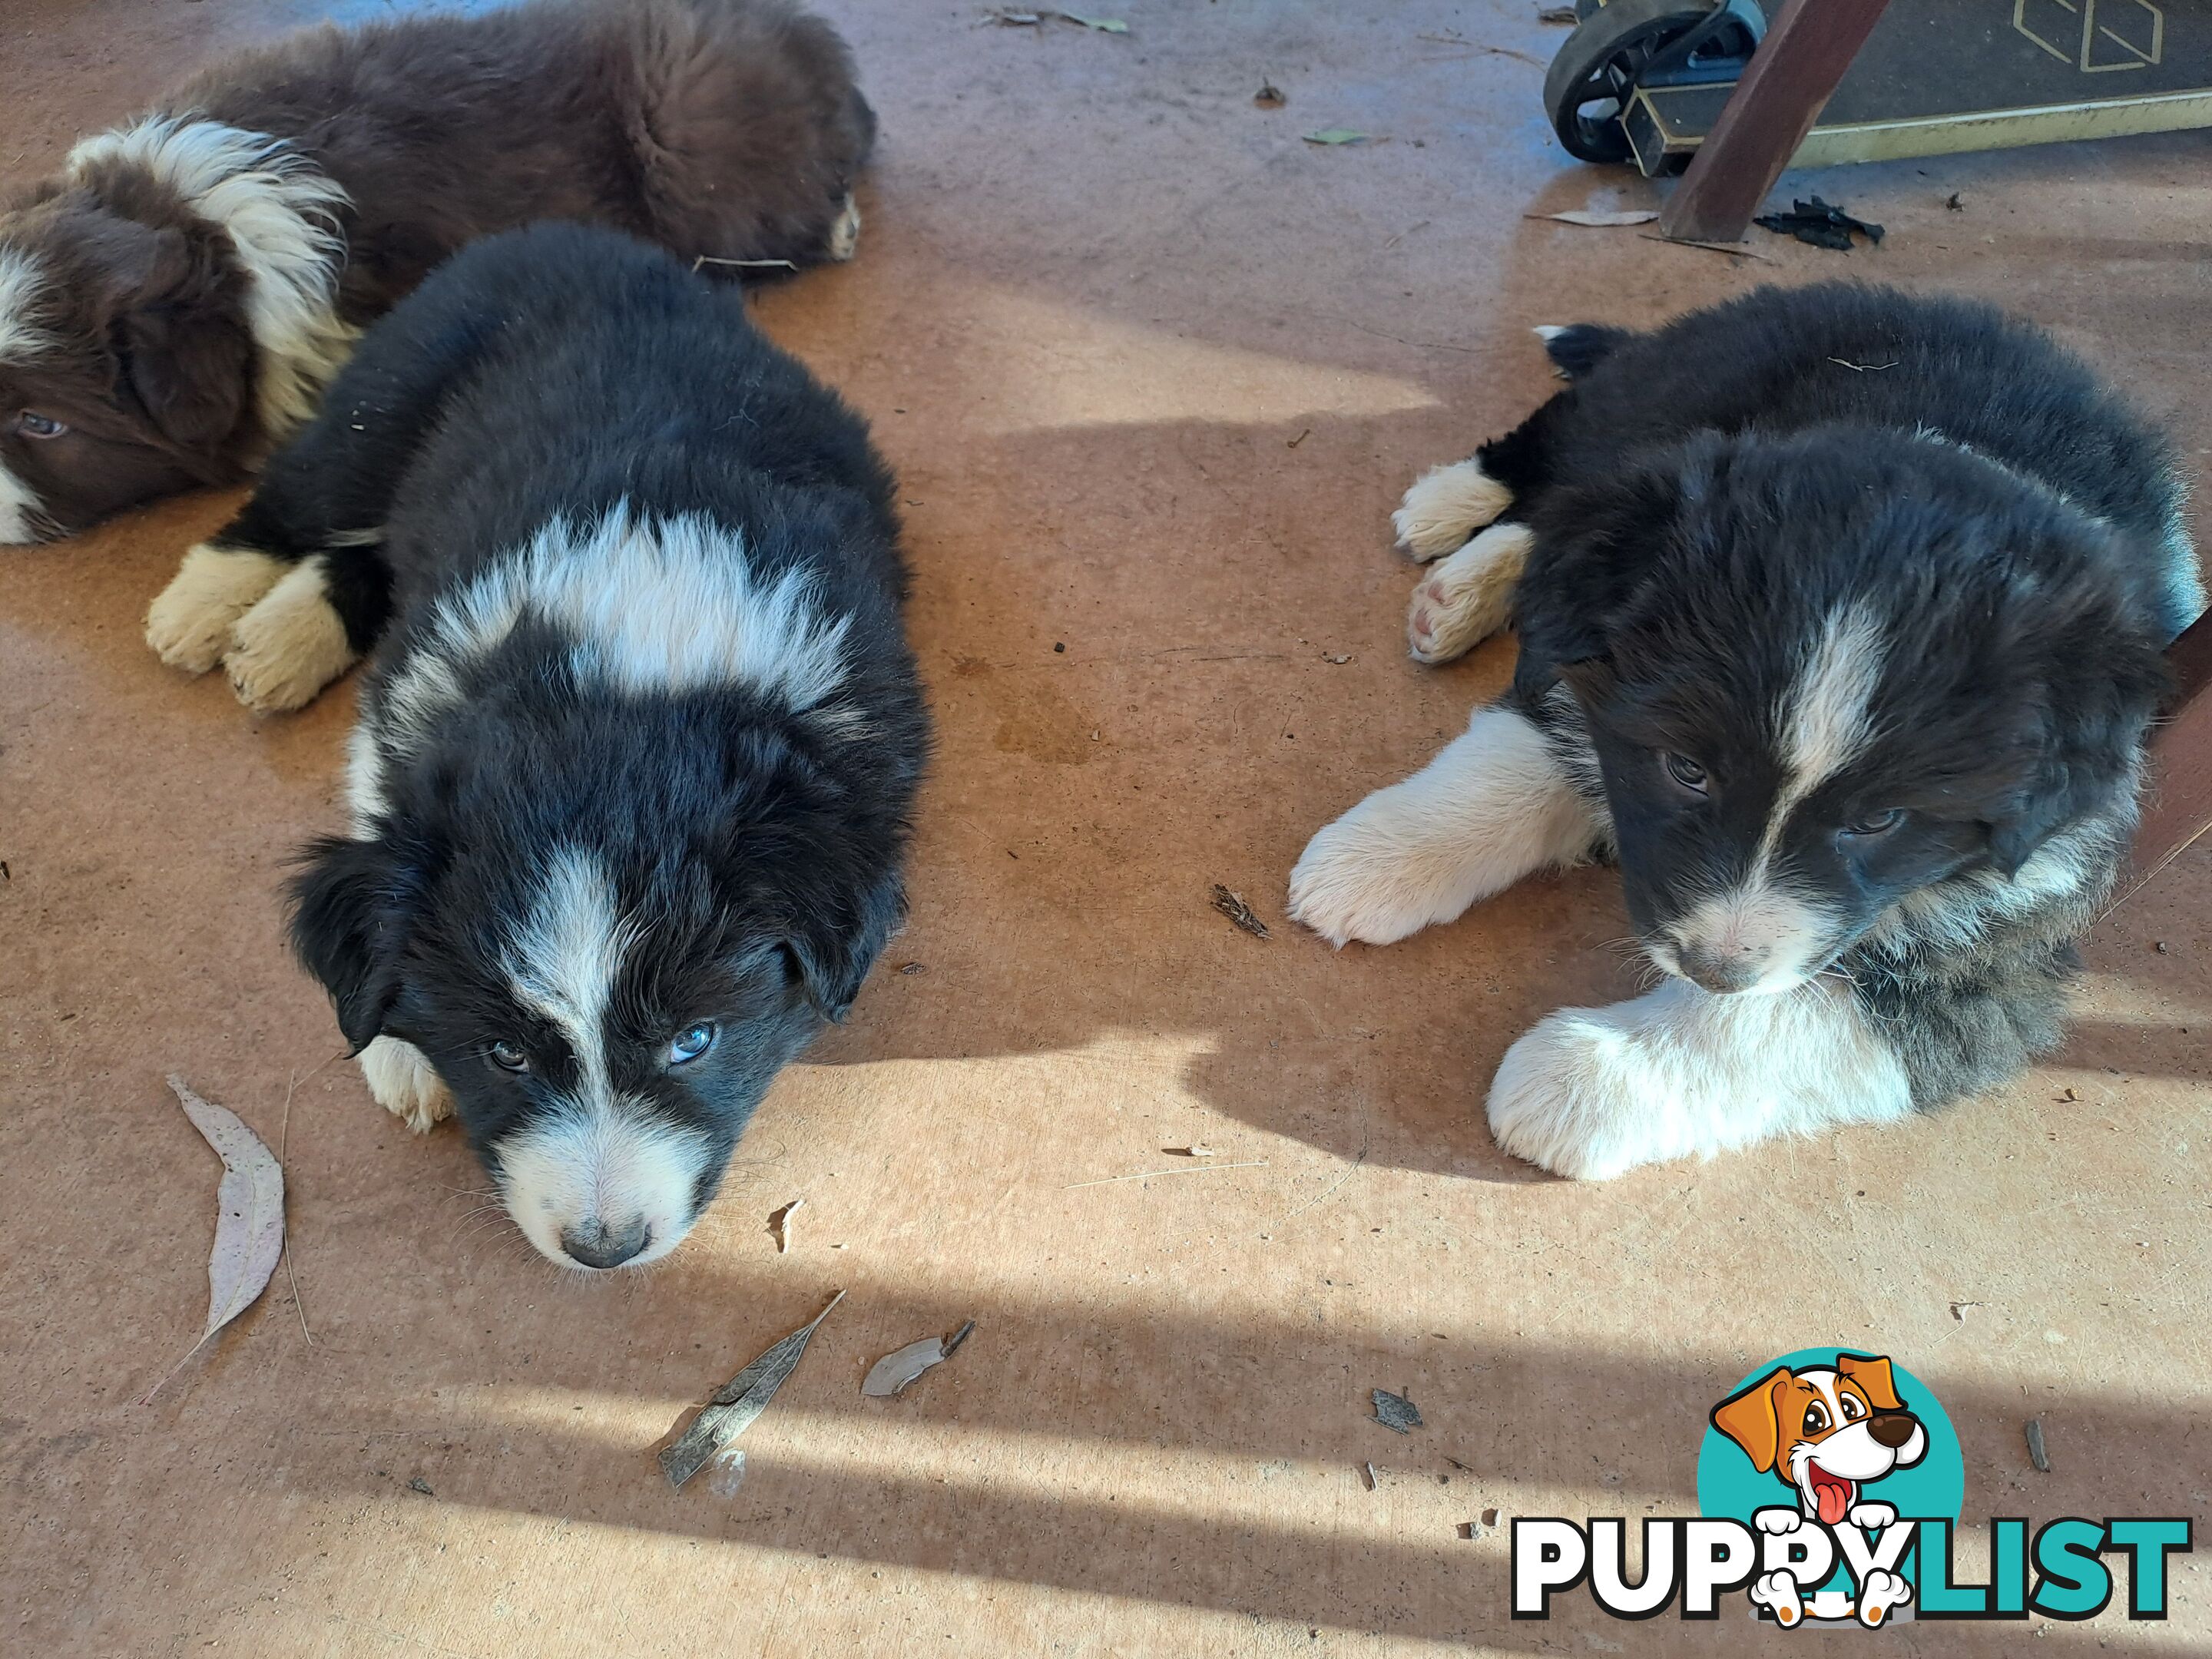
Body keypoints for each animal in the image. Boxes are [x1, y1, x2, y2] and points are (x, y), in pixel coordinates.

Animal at [270, 227, 924, 1273]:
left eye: (694, 1040)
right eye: (504, 1053)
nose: (605, 1246)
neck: (616, 685)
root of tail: (570, 233)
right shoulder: (410, 700)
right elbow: (376, 801)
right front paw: (400, 1051)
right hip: (381, 401)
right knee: (303, 498)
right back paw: (218, 611)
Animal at [1291, 283, 2203, 1185]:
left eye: (1881, 821)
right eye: (1687, 769)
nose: (1714, 968)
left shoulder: (2006, 953)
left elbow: (1784, 1021)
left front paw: (1584, 1078)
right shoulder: (1592, 672)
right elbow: (1518, 758)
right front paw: (1375, 860)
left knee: (1574, 515)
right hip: (1669, 390)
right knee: (1565, 461)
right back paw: (1452, 517)